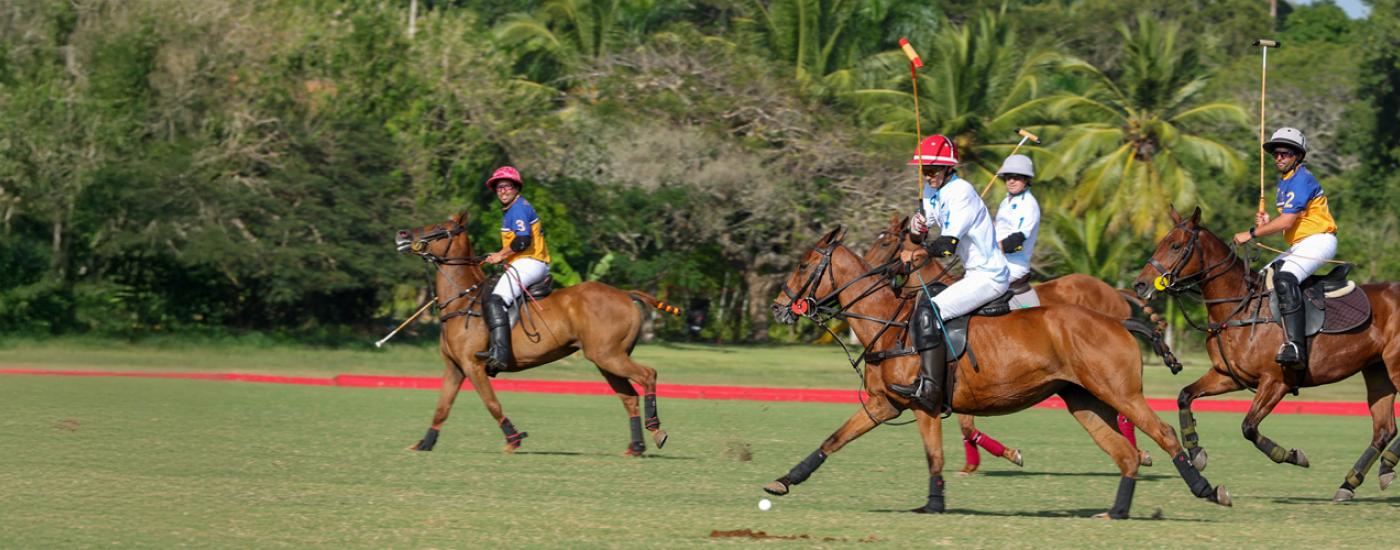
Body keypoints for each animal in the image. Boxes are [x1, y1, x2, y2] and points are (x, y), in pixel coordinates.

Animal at [394, 209, 672, 453]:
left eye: (439, 228)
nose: (401, 233)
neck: (463, 300)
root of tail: (626, 294)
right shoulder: (455, 366)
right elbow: (442, 407)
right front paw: (424, 443)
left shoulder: (473, 365)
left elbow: (491, 403)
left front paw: (514, 439)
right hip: (606, 358)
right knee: (629, 397)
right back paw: (636, 446)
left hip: (608, 355)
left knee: (648, 375)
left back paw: (656, 429)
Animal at [767, 225, 1226, 517]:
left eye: (805, 266)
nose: (778, 307)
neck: (891, 322)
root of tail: (1118, 320)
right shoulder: (885, 404)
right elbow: (833, 439)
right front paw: (783, 481)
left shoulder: (924, 404)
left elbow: (935, 456)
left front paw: (935, 504)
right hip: (1085, 400)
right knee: (1124, 453)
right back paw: (1116, 509)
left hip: (1119, 391)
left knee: (1161, 433)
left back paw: (1207, 489)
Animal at [1131, 205, 1400, 501]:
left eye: (1176, 245)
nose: (1140, 285)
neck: (1240, 305)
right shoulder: (1228, 375)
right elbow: (1184, 396)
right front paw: (1196, 451)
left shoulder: (1276, 380)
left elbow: (1248, 427)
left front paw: (1293, 455)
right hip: (1377, 370)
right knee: (1384, 429)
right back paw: (1353, 482)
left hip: (1395, 366)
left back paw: (1380, 468)